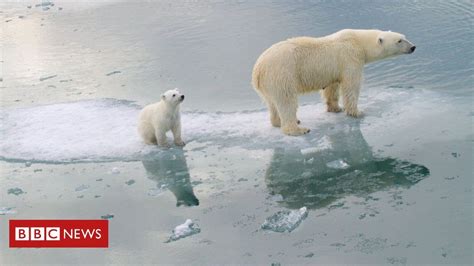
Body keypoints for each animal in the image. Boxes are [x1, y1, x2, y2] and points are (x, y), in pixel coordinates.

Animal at [252, 29, 414, 135]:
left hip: (269, 84)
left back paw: (278, 122)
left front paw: (336, 108)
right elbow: (351, 86)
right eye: (399, 41)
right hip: (282, 74)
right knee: (287, 101)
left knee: (272, 103)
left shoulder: (334, 70)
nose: (413, 47)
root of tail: (258, 70)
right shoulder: (350, 58)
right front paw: (357, 112)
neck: (358, 41)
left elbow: (332, 87)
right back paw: (298, 128)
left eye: (404, 36)